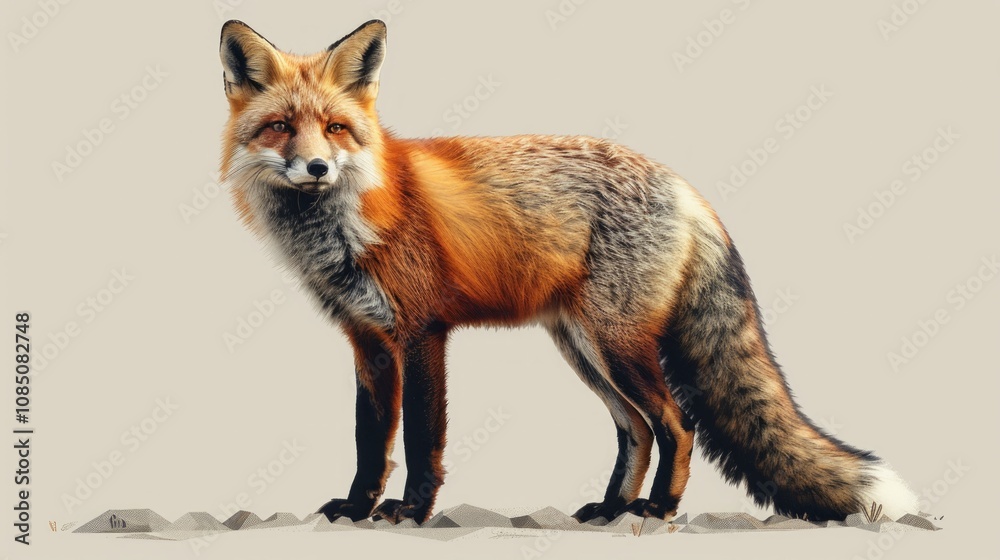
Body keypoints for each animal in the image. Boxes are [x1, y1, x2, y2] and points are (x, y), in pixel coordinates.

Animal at [217, 19, 918, 525]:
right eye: (281, 127)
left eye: (336, 128)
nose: (316, 168)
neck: (350, 221)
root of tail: (686, 188)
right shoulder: (366, 341)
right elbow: (370, 440)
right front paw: (358, 506)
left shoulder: (422, 333)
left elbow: (420, 438)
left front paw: (411, 512)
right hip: (583, 347)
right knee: (636, 430)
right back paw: (610, 508)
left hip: (615, 344)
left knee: (676, 423)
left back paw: (658, 509)